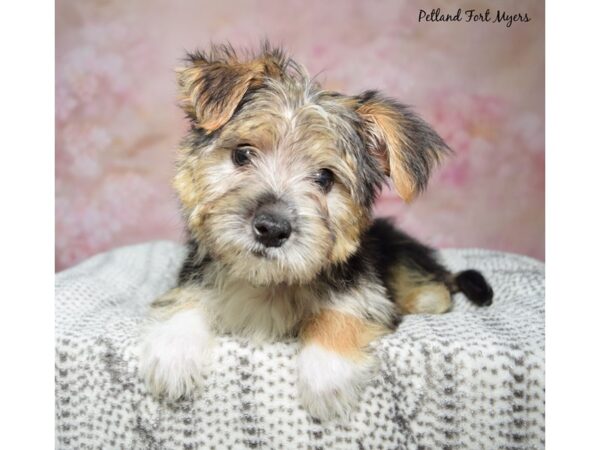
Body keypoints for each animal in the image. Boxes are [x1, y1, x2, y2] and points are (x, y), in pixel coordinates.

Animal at [139, 44, 492, 420]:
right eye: (242, 154)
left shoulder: (366, 294)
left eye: (325, 178)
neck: (268, 281)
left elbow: (341, 313)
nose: (272, 229)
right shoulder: (197, 275)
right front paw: (173, 352)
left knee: (436, 289)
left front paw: (327, 374)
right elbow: (188, 299)